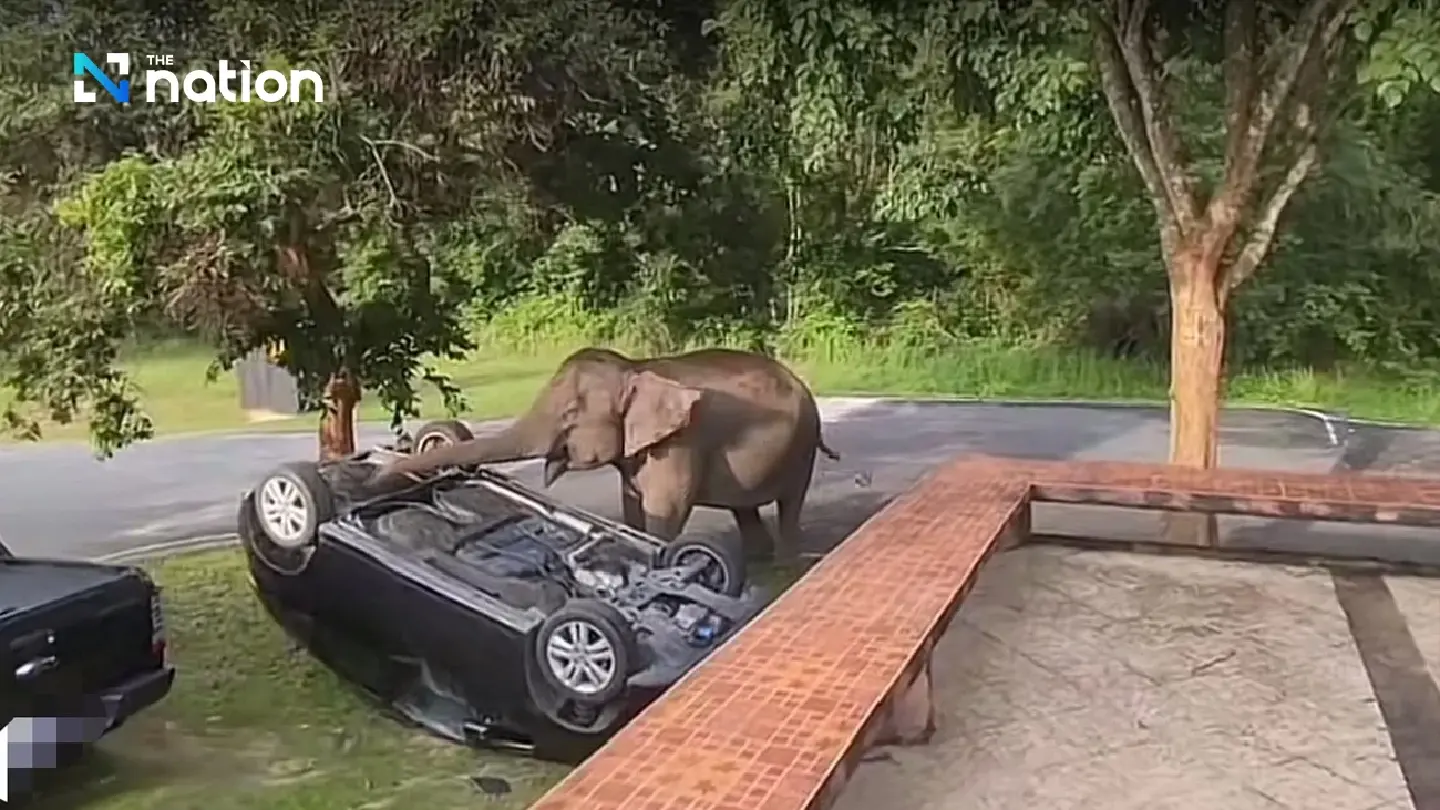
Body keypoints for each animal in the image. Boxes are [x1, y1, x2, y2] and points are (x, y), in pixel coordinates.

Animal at [380, 347, 840, 561]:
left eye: (570, 414)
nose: (388, 469)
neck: (634, 368)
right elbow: (632, 504)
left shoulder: (679, 444)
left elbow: (665, 512)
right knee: (745, 507)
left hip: (802, 446)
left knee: (791, 500)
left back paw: (784, 562)